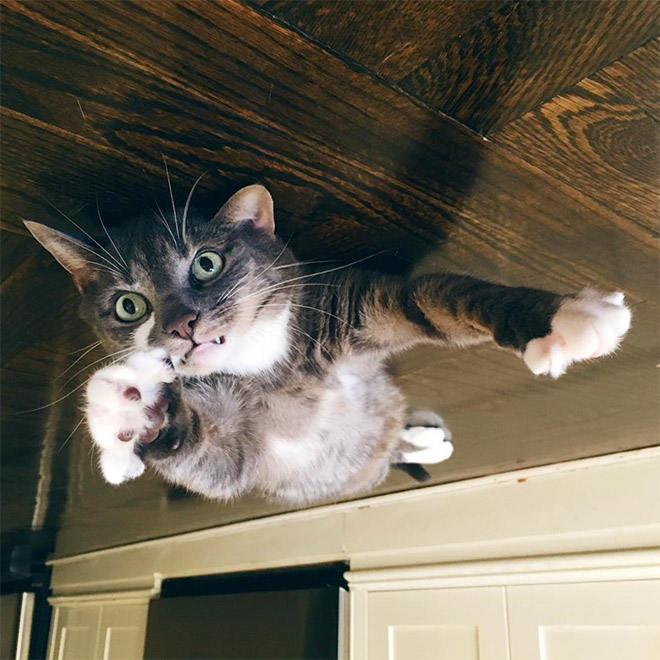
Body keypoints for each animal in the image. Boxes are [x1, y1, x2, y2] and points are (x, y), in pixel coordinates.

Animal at [24, 184, 628, 506]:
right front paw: (132, 412)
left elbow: (439, 298)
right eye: (130, 305)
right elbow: (211, 456)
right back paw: (425, 442)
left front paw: (563, 317)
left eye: (206, 262)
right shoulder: (241, 445)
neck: (266, 364)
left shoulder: (351, 306)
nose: (182, 325)